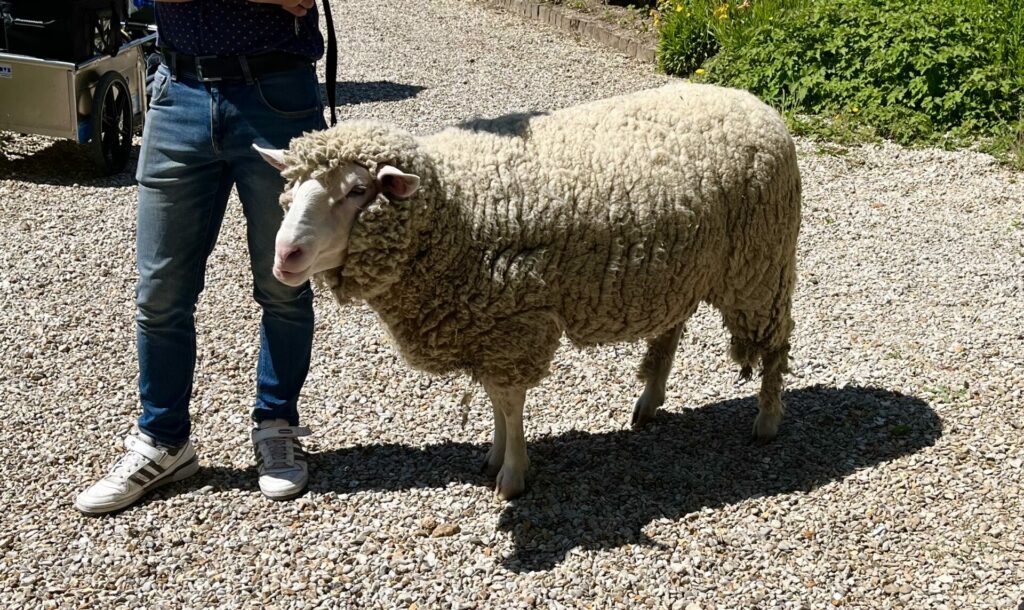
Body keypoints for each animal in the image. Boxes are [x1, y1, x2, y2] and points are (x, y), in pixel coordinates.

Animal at [254, 82, 801, 500]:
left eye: (357, 191)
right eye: (291, 188)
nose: (284, 255)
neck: (457, 206)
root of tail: (754, 103)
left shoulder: (514, 325)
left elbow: (510, 401)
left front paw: (512, 476)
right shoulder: (487, 327)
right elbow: (496, 401)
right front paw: (494, 455)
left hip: (761, 267)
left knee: (776, 345)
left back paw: (768, 420)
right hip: (680, 271)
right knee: (670, 331)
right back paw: (649, 401)